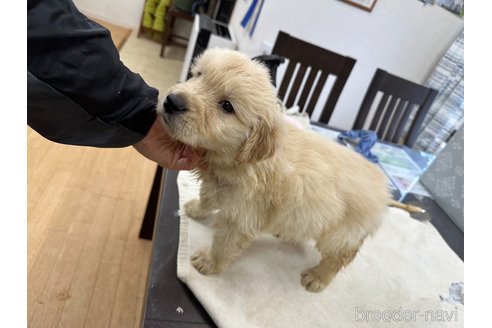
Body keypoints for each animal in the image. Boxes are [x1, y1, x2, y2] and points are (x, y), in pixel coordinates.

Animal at [157, 48, 388, 292]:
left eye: (227, 106)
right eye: (198, 74)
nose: (172, 101)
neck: (239, 161)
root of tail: (384, 188)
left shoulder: (242, 218)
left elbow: (224, 244)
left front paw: (210, 261)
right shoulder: (217, 183)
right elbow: (207, 197)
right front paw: (196, 208)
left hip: (340, 236)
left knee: (339, 258)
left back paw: (317, 278)